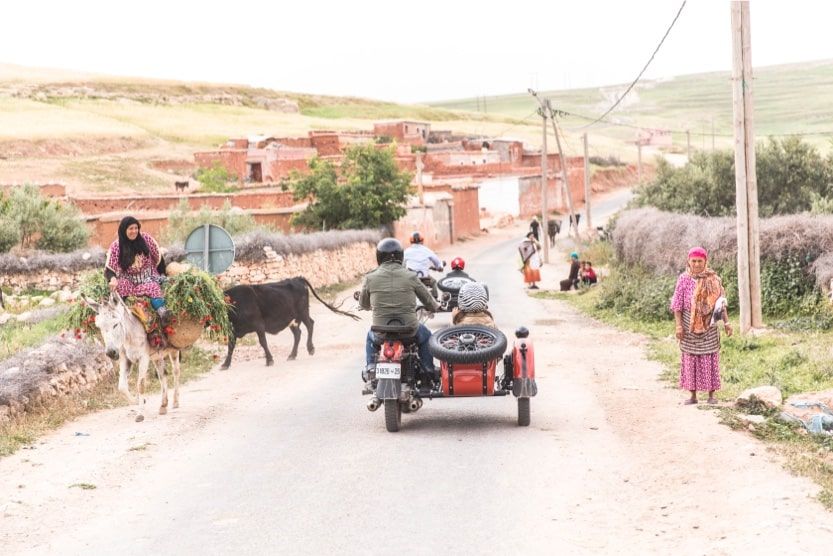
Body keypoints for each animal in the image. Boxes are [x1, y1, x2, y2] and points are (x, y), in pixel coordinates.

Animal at [219, 276, 360, 370]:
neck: (235, 304)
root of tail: (297, 278)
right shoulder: (233, 330)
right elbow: (231, 346)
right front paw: (225, 364)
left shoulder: (259, 325)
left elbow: (263, 343)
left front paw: (269, 360)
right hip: (292, 319)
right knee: (298, 333)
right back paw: (292, 355)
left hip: (302, 312)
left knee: (310, 325)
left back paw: (310, 348)